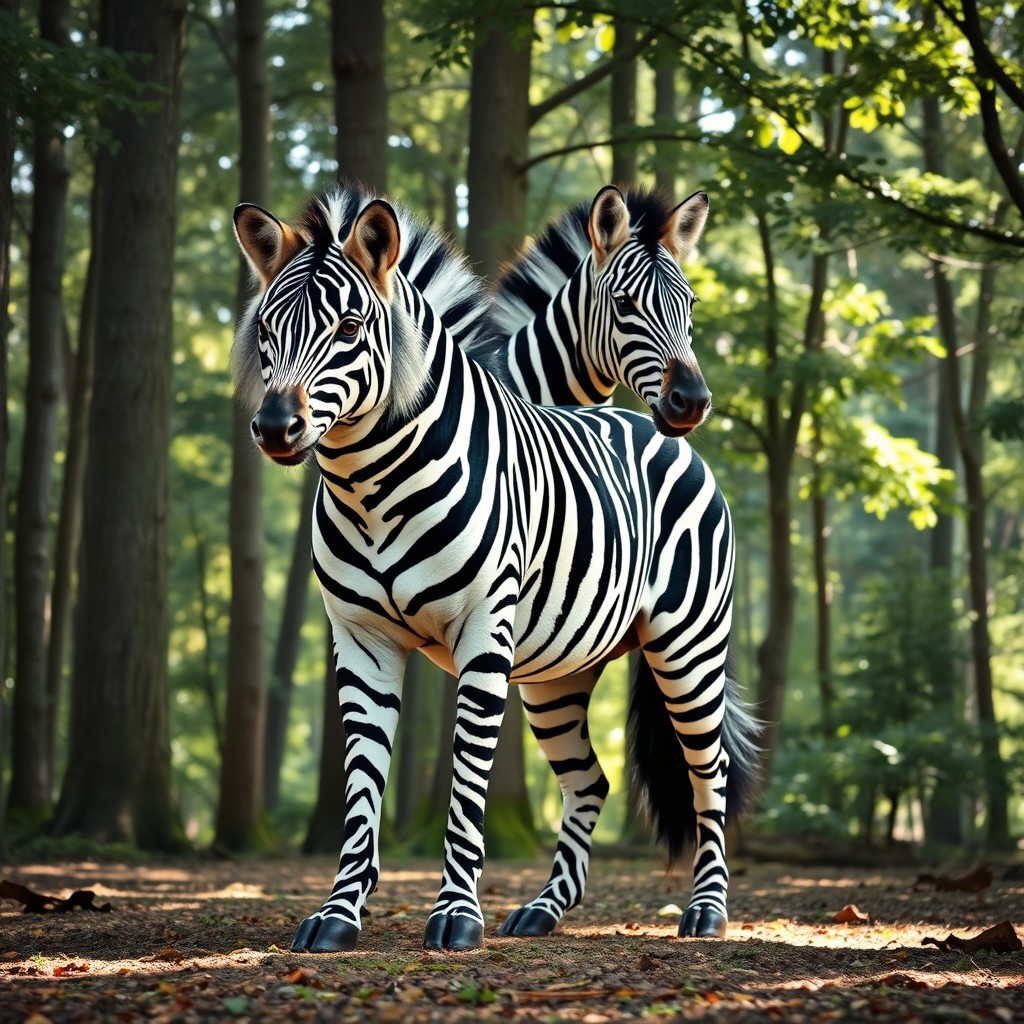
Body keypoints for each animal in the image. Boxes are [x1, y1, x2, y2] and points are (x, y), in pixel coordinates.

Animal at [232, 191, 760, 953]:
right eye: (267, 329)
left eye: (351, 326)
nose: (276, 427)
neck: (370, 483)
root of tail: (658, 436)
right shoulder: (360, 640)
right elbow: (363, 781)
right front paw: (338, 914)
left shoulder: (485, 633)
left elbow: (466, 785)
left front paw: (456, 916)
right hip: (558, 675)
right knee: (590, 783)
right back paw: (543, 910)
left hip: (689, 646)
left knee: (706, 774)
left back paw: (707, 914)